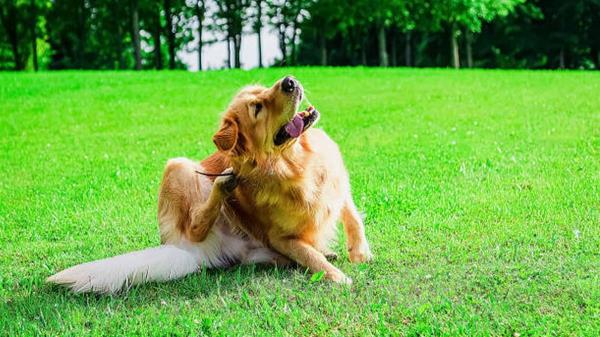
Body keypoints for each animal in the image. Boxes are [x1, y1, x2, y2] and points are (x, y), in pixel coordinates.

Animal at [48, 75, 370, 292]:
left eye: (264, 88)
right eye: (257, 108)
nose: (289, 81)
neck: (295, 162)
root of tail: (185, 251)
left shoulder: (338, 185)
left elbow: (353, 217)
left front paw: (360, 253)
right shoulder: (279, 236)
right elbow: (308, 255)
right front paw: (338, 277)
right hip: (178, 166)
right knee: (196, 224)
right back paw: (223, 186)